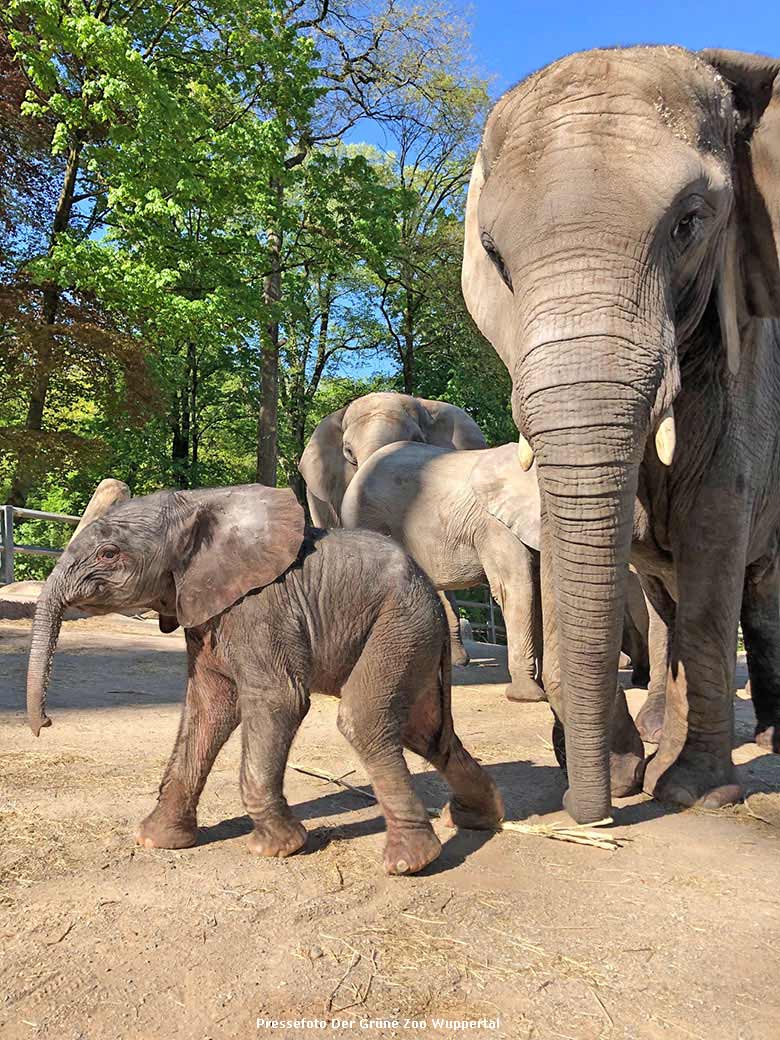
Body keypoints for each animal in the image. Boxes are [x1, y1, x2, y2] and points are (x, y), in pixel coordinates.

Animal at [24, 482, 503, 873]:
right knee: (423, 731)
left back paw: (410, 862)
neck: (198, 504)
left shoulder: (260, 607)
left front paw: (277, 848)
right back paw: (477, 818)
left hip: (399, 623)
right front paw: (157, 840)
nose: (44, 724)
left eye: (109, 554)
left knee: (365, 719)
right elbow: (208, 709)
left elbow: (278, 699)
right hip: (410, 634)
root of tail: (430, 590)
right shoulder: (206, 611)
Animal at [461, 48, 780, 823]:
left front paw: (696, 793)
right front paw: (617, 772)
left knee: (752, 596)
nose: (590, 813)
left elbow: (713, 535)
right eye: (495, 254)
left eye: (689, 223)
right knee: (665, 599)